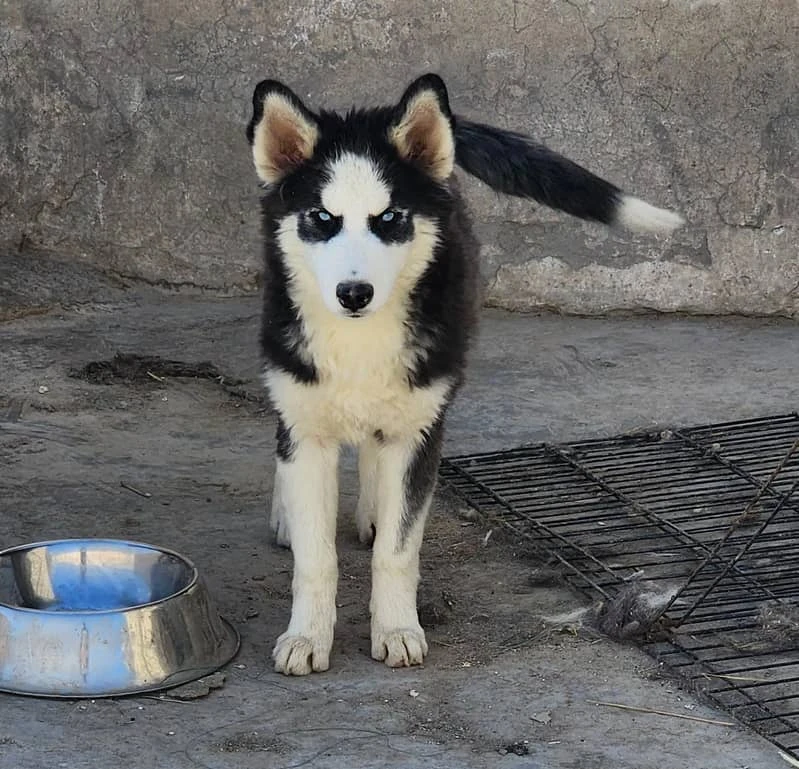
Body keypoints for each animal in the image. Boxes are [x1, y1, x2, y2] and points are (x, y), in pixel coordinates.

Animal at [244, 72, 680, 672]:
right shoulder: (305, 418)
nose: (354, 294)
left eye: (390, 218)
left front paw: (397, 627)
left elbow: (397, 551)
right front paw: (307, 637)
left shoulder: (420, 426)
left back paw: (375, 509)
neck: (359, 341)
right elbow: (316, 558)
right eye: (323, 219)